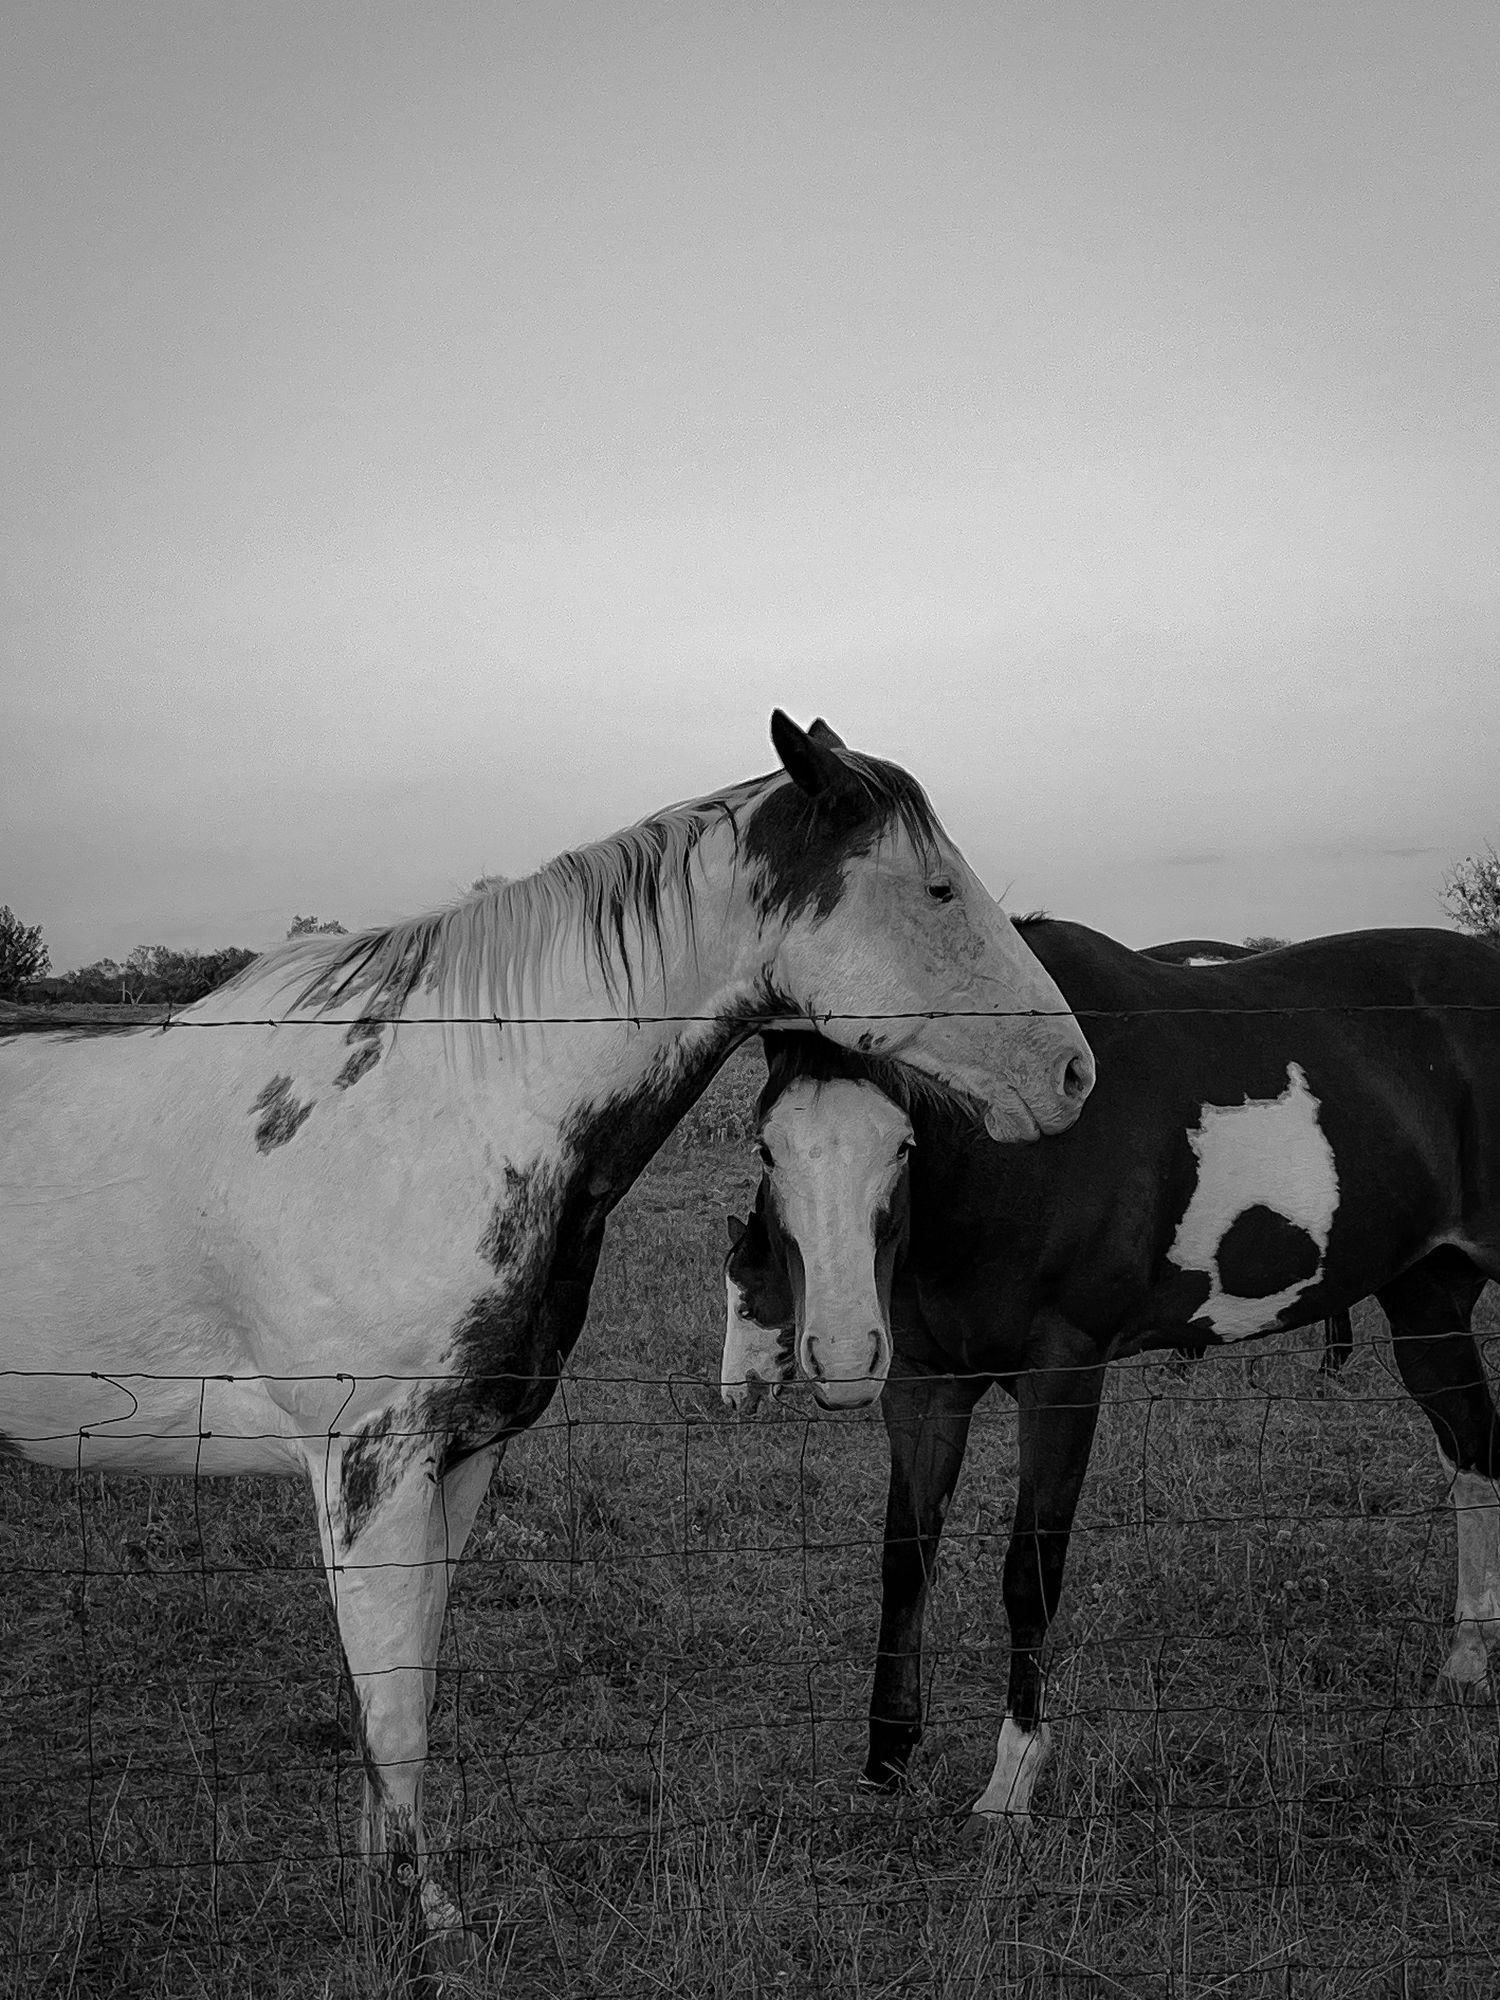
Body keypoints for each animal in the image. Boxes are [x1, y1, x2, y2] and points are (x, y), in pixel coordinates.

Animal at [0, 714, 1096, 1973]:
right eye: (935, 885)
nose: (1075, 1071)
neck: (446, 1108)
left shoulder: (462, 1457)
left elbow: (407, 1693)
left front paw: (388, 1902)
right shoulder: (369, 1464)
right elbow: (392, 1709)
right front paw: (427, 1927)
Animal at [720, 917, 1500, 1830]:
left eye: (903, 1145)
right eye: (769, 1148)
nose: (842, 1357)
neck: (1010, 1158)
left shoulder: (1064, 1376)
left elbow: (1030, 1574)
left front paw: (1011, 1783)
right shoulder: (924, 1387)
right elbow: (904, 1560)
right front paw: (887, 1758)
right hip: (1428, 1300)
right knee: (1473, 1454)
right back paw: (1468, 1659)